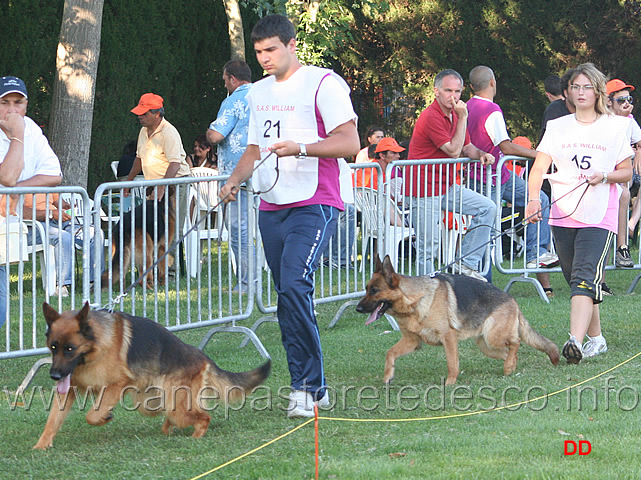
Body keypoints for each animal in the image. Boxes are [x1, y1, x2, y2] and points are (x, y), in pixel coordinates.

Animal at [32, 304, 270, 450]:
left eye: (70, 349)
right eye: (53, 347)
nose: (54, 375)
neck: (96, 346)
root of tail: (201, 356)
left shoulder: (116, 384)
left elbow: (92, 415)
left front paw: (103, 417)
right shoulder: (68, 389)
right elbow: (53, 419)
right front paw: (41, 445)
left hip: (174, 406)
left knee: (203, 417)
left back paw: (195, 437)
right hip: (152, 403)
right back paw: (168, 430)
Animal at [356, 255, 560, 386]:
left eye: (375, 291)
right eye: (366, 289)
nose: (358, 309)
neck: (416, 300)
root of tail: (512, 300)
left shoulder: (449, 338)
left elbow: (452, 364)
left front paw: (450, 384)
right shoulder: (412, 341)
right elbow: (390, 353)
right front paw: (388, 376)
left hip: (493, 337)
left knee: (516, 342)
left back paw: (509, 366)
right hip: (486, 345)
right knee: (510, 352)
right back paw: (510, 367)